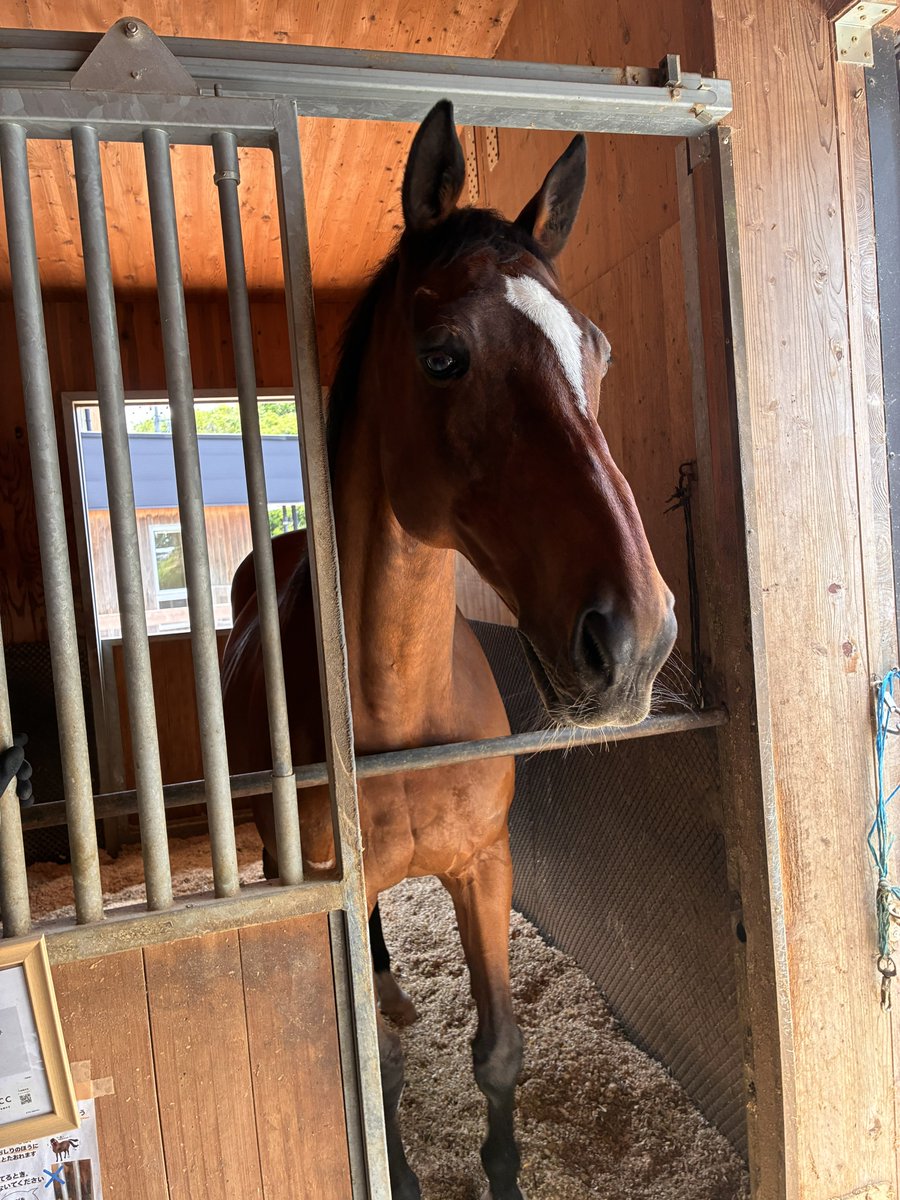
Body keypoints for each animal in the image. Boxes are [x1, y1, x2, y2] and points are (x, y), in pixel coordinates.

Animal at [222, 100, 675, 1200]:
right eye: (441, 356)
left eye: (597, 352)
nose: (636, 639)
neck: (405, 708)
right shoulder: (342, 897)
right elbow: (375, 1064)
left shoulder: (485, 862)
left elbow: (500, 1049)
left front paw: (504, 1176)